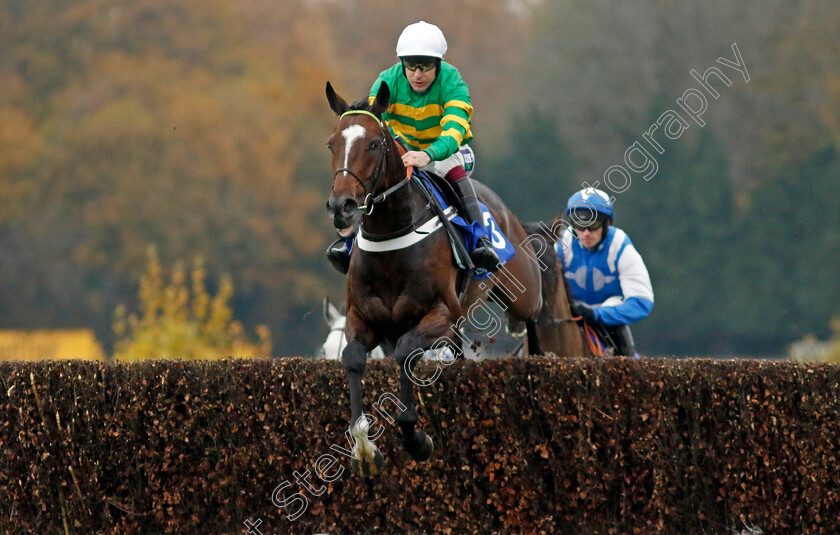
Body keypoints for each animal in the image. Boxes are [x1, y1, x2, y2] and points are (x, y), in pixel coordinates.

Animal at [324, 82, 548, 478]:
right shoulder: (361, 317)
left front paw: (416, 439)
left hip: (522, 291)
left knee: (532, 312)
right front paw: (364, 448)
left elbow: (405, 352)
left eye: (374, 144)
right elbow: (352, 358)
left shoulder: (442, 314)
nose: (342, 207)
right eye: (332, 143)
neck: (391, 235)